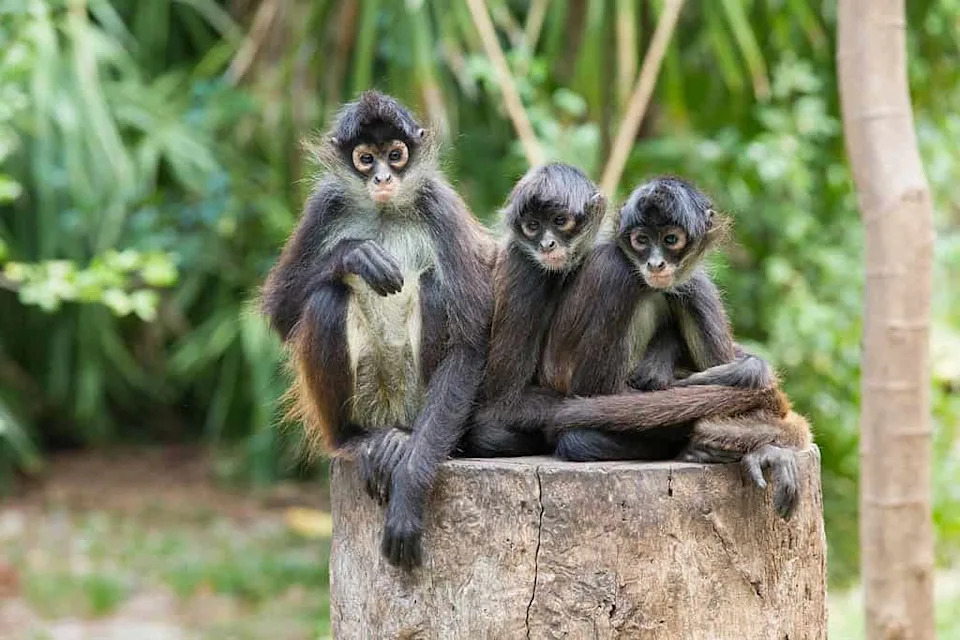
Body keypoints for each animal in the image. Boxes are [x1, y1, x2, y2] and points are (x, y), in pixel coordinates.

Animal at [261, 91, 494, 568]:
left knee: (434, 289)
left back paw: (402, 442)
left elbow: (469, 344)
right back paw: (355, 441)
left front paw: (409, 494)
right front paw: (353, 254)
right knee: (326, 299)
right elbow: (281, 313)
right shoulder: (324, 204)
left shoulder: (439, 203)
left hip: (414, 399)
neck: (385, 212)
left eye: (396, 154)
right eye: (366, 158)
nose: (383, 177)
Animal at [538, 176, 811, 518]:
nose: (655, 263)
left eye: (670, 239)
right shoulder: (614, 270)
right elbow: (593, 393)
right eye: (641, 240)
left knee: (692, 286)